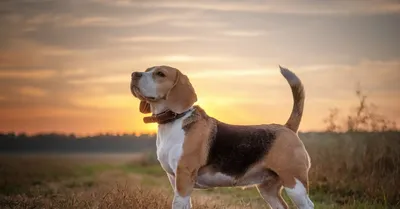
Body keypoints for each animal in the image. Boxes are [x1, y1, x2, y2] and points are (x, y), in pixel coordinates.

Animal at [130, 65, 314, 209]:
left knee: (308, 204)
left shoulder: (184, 176)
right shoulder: (175, 179)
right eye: (147, 69)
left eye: (160, 74)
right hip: (268, 189)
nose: (134, 74)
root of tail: (287, 128)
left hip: (295, 183)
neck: (173, 119)